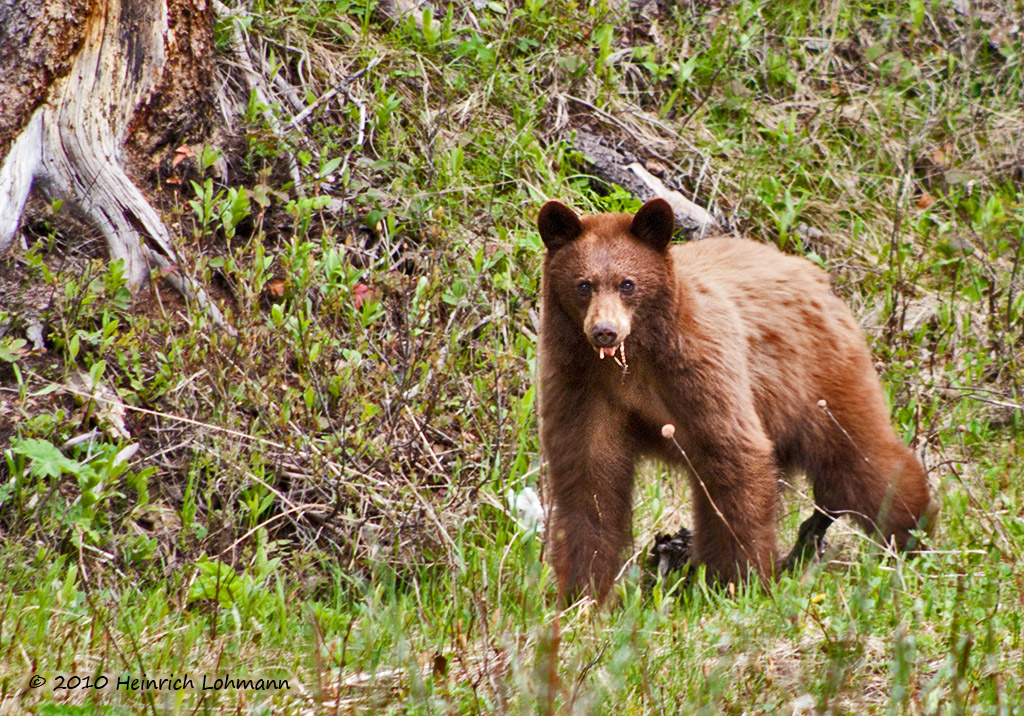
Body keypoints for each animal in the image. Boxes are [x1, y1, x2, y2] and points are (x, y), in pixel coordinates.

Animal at [536, 197, 937, 606]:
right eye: (583, 285)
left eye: (627, 284)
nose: (605, 331)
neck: (632, 362)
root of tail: (814, 274)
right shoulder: (582, 385)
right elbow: (590, 476)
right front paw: (584, 593)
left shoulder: (700, 367)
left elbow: (733, 456)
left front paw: (736, 582)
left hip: (817, 378)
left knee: (860, 456)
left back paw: (912, 534)